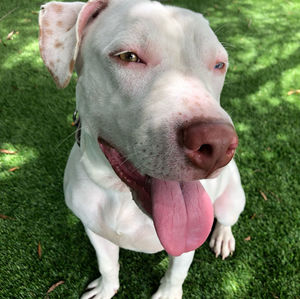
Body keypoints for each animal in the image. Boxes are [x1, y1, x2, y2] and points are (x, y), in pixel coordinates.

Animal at [39, 0, 246, 298]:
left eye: (219, 64)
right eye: (128, 57)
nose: (218, 145)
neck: (120, 194)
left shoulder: (186, 242)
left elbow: (175, 274)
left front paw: (168, 293)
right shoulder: (95, 232)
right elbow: (107, 265)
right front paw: (106, 288)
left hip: (232, 199)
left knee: (227, 219)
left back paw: (222, 237)